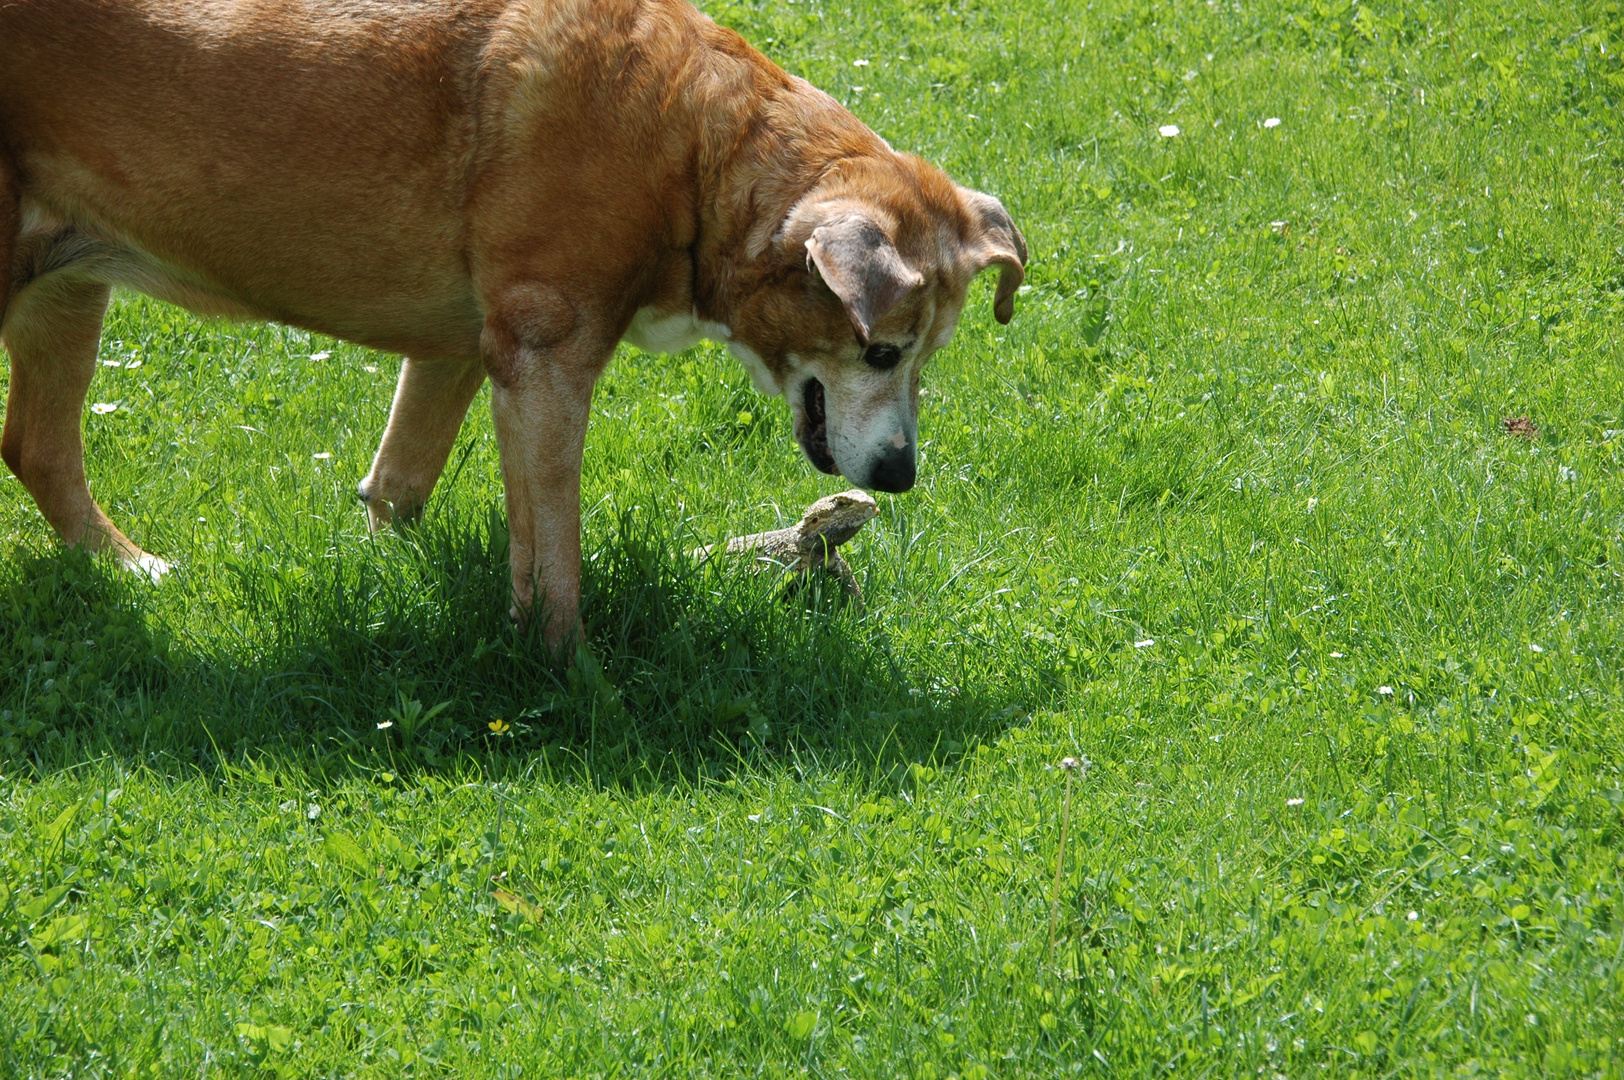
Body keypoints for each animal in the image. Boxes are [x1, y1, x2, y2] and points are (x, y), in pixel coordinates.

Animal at [0, 0, 1019, 643]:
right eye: (879, 351)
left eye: (924, 360)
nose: (901, 477)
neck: (695, 144)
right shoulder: (544, 366)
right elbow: (552, 552)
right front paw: (570, 675)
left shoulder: (458, 353)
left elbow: (399, 485)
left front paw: (397, 573)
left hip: (65, 291)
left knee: (38, 449)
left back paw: (127, 567)